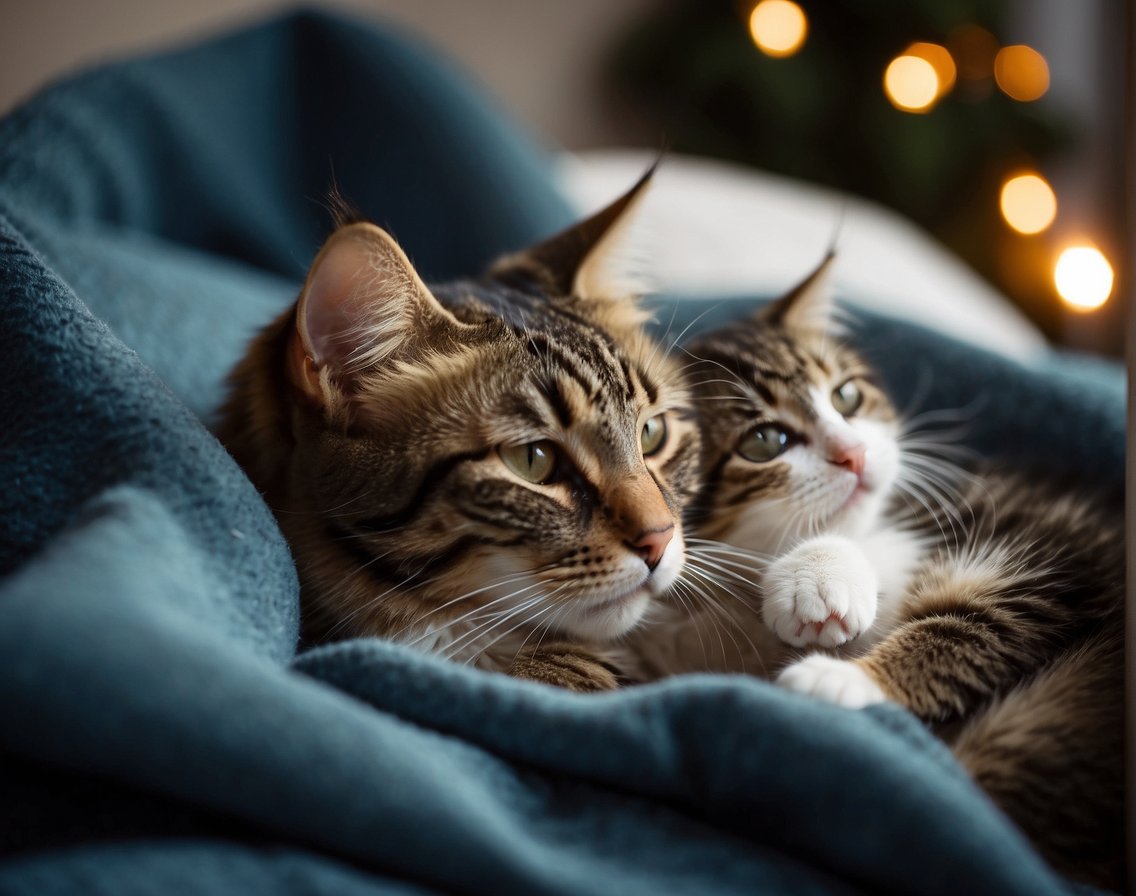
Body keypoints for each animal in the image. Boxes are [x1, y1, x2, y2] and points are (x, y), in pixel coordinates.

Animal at [667, 255, 1122, 890]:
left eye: (848, 396)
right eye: (764, 441)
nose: (855, 454)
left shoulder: (1048, 546)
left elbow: (973, 625)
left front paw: (840, 665)